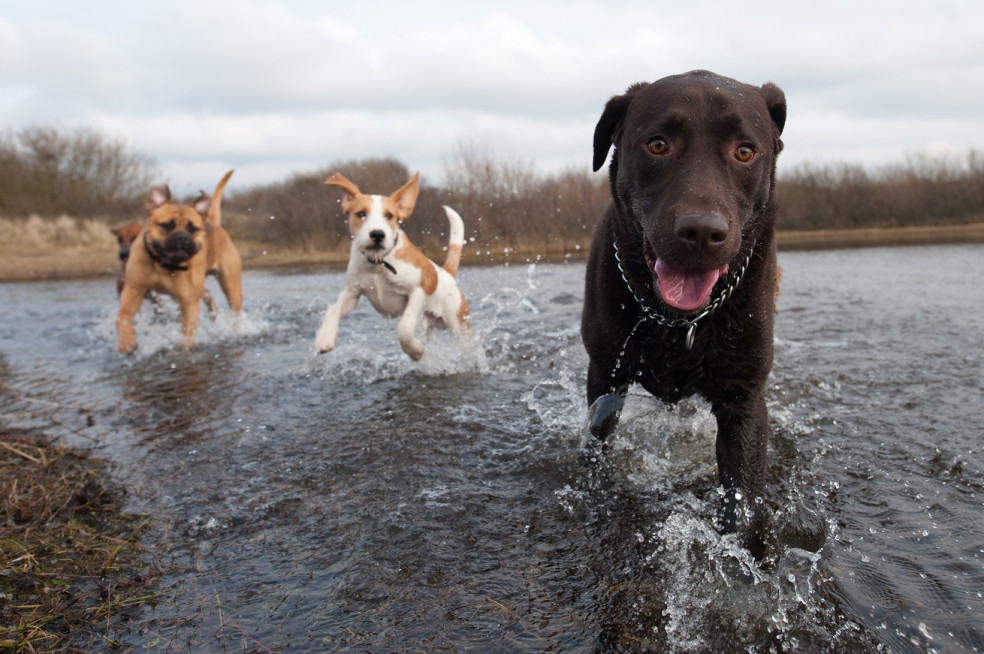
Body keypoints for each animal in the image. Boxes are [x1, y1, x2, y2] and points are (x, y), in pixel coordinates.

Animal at [116, 170, 244, 354]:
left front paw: (186, 349)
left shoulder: (189, 302)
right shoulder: (134, 289)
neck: (164, 264)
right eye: (166, 225)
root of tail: (213, 223)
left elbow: (188, 332)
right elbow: (123, 316)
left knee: (235, 310)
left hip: (231, 287)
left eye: (193, 228)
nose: (182, 237)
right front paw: (126, 341)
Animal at [316, 172, 468, 362]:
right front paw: (324, 337)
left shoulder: (417, 290)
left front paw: (415, 350)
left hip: (459, 326)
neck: (378, 263)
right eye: (361, 214)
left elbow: (404, 328)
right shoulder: (352, 293)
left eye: (389, 215)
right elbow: (333, 309)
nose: (377, 234)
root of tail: (446, 273)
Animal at [584, 70, 784, 552]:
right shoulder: (604, 375)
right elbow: (596, 456)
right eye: (658, 145)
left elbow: (743, 505)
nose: (701, 232)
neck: (677, 321)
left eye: (745, 151)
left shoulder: (744, 399)